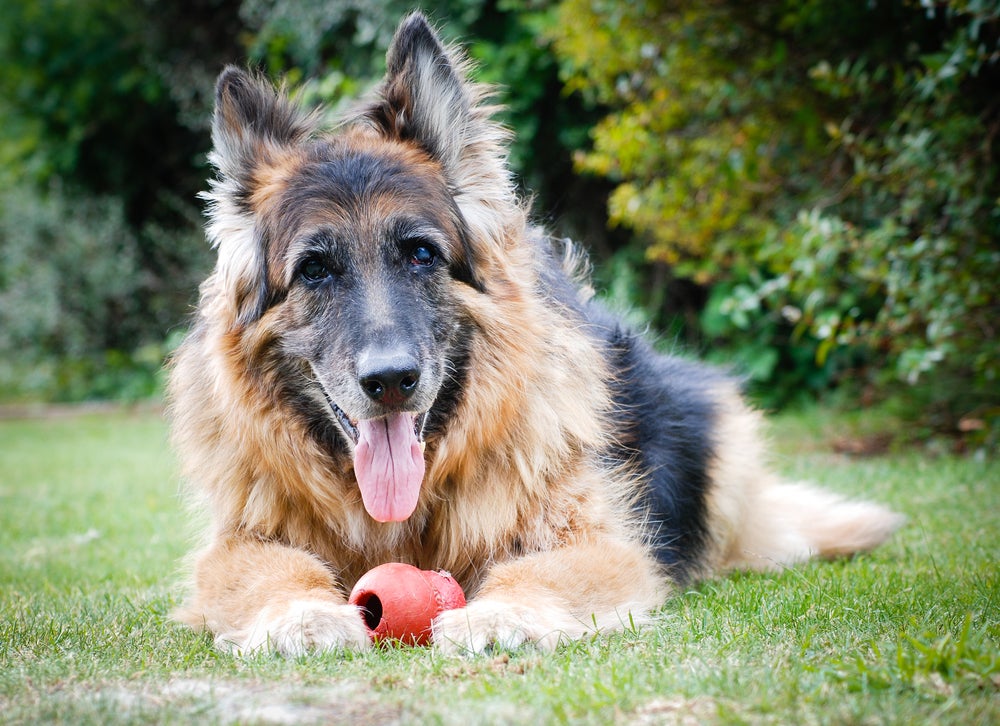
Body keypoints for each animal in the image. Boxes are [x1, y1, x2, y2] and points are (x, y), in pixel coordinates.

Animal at [168, 12, 904, 660]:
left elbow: (537, 569)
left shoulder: (600, 543)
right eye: (314, 270)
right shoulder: (236, 544)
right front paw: (300, 614)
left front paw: (502, 614)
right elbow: (269, 569)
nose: (391, 381)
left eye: (420, 254)